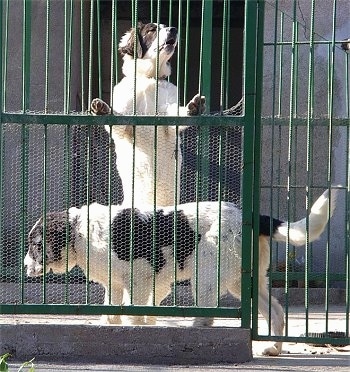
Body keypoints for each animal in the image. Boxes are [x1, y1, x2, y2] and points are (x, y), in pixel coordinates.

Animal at [24, 190, 336, 356]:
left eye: (36, 245)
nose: (25, 268)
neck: (79, 231)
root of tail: (251, 216)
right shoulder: (120, 282)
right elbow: (113, 305)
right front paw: (111, 322)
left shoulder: (140, 278)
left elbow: (135, 308)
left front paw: (136, 327)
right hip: (244, 279)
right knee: (276, 311)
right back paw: (273, 348)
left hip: (207, 272)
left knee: (209, 311)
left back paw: (196, 329)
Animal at [90, 22, 205, 206]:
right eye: (152, 30)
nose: (173, 29)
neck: (149, 78)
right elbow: (117, 119)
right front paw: (102, 110)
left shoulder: (167, 113)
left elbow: (176, 114)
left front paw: (193, 107)